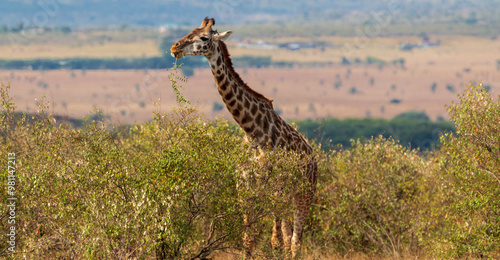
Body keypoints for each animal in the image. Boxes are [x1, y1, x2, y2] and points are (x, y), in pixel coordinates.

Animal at [170, 17, 318, 256]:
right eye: (190, 30)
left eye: (204, 37)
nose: (175, 48)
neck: (251, 129)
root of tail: (313, 157)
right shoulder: (244, 186)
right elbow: (248, 238)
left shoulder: (270, 186)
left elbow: (269, 238)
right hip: (287, 195)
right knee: (289, 238)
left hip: (304, 192)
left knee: (296, 240)